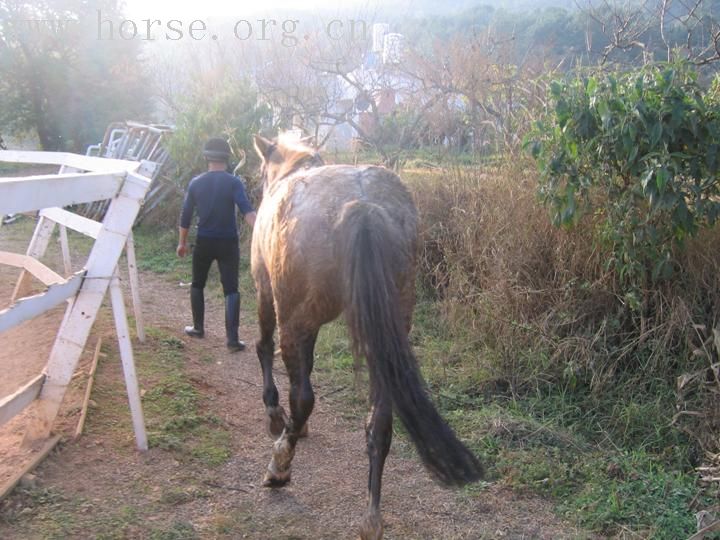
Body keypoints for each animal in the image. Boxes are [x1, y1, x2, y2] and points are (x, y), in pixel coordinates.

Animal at [250, 134, 480, 540]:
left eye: (263, 171)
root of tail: (364, 206)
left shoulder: (266, 291)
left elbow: (265, 348)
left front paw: (276, 418)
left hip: (295, 319)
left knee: (303, 395)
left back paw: (279, 467)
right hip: (383, 338)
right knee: (381, 422)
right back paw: (371, 517)